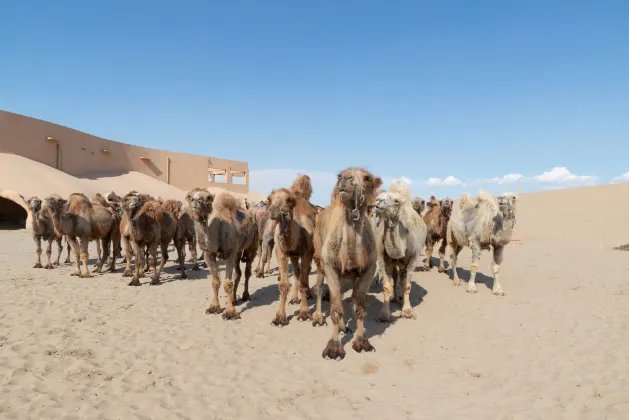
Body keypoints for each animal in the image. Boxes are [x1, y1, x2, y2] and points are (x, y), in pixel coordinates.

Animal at [185, 187, 258, 318]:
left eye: (208, 198)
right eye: (190, 196)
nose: (195, 201)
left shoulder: (230, 253)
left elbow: (227, 283)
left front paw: (230, 312)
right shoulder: (209, 254)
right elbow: (215, 282)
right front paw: (214, 307)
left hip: (251, 245)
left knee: (247, 271)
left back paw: (245, 295)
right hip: (238, 251)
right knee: (238, 273)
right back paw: (234, 299)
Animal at [266, 174, 316, 324]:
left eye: (289, 200)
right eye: (269, 199)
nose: (273, 211)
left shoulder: (306, 253)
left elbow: (303, 283)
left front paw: (304, 313)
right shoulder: (281, 252)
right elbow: (283, 284)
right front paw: (280, 317)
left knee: (306, 272)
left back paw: (309, 294)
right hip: (293, 255)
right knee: (296, 272)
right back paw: (294, 299)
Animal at [312, 167, 382, 360]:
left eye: (367, 178)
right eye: (339, 176)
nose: (345, 178)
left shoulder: (369, 269)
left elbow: (359, 307)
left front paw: (362, 342)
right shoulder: (330, 265)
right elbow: (335, 309)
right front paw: (334, 348)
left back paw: (344, 327)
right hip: (319, 257)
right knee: (320, 286)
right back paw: (318, 318)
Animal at [372, 178, 426, 322]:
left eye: (396, 201)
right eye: (378, 196)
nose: (378, 201)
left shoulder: (414, 257)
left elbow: (407, 285)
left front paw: (407, 311)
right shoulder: (382, 257)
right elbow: (387, 286)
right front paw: (385, 315)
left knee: (401, 278)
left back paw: (401, 300)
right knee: (396, 277)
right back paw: (395, 298)